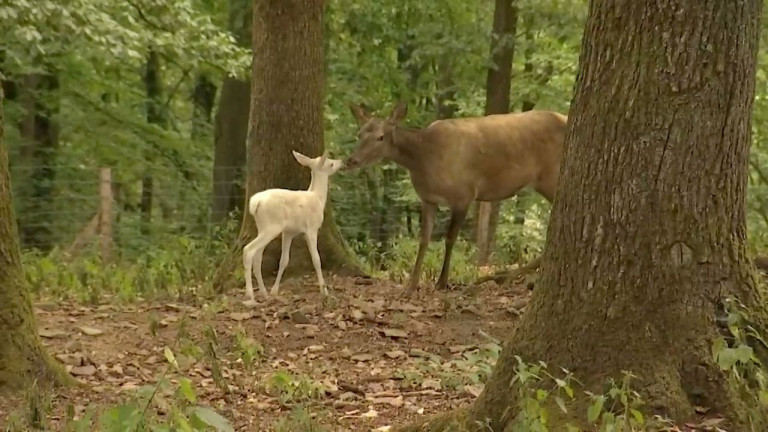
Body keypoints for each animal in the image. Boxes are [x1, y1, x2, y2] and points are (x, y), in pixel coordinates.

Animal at [344, 101, 568, 292]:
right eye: (359, 134)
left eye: (380, 137)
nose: (351, 160)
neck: (425, 158)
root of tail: (565, 117)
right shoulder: (428, 199)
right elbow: (424, 238)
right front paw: (412, 284)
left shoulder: (464, 194)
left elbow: (450, 238)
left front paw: (442, 282)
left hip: (551, 176)